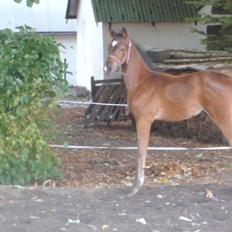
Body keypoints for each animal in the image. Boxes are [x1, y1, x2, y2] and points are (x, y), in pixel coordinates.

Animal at [104, 26, 232, 196]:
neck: (142, 83)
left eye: (122, 48)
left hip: (223, 118)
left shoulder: (144, 120)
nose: (108, 68)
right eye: (109, 46)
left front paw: (136, 187)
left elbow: (141, 151)